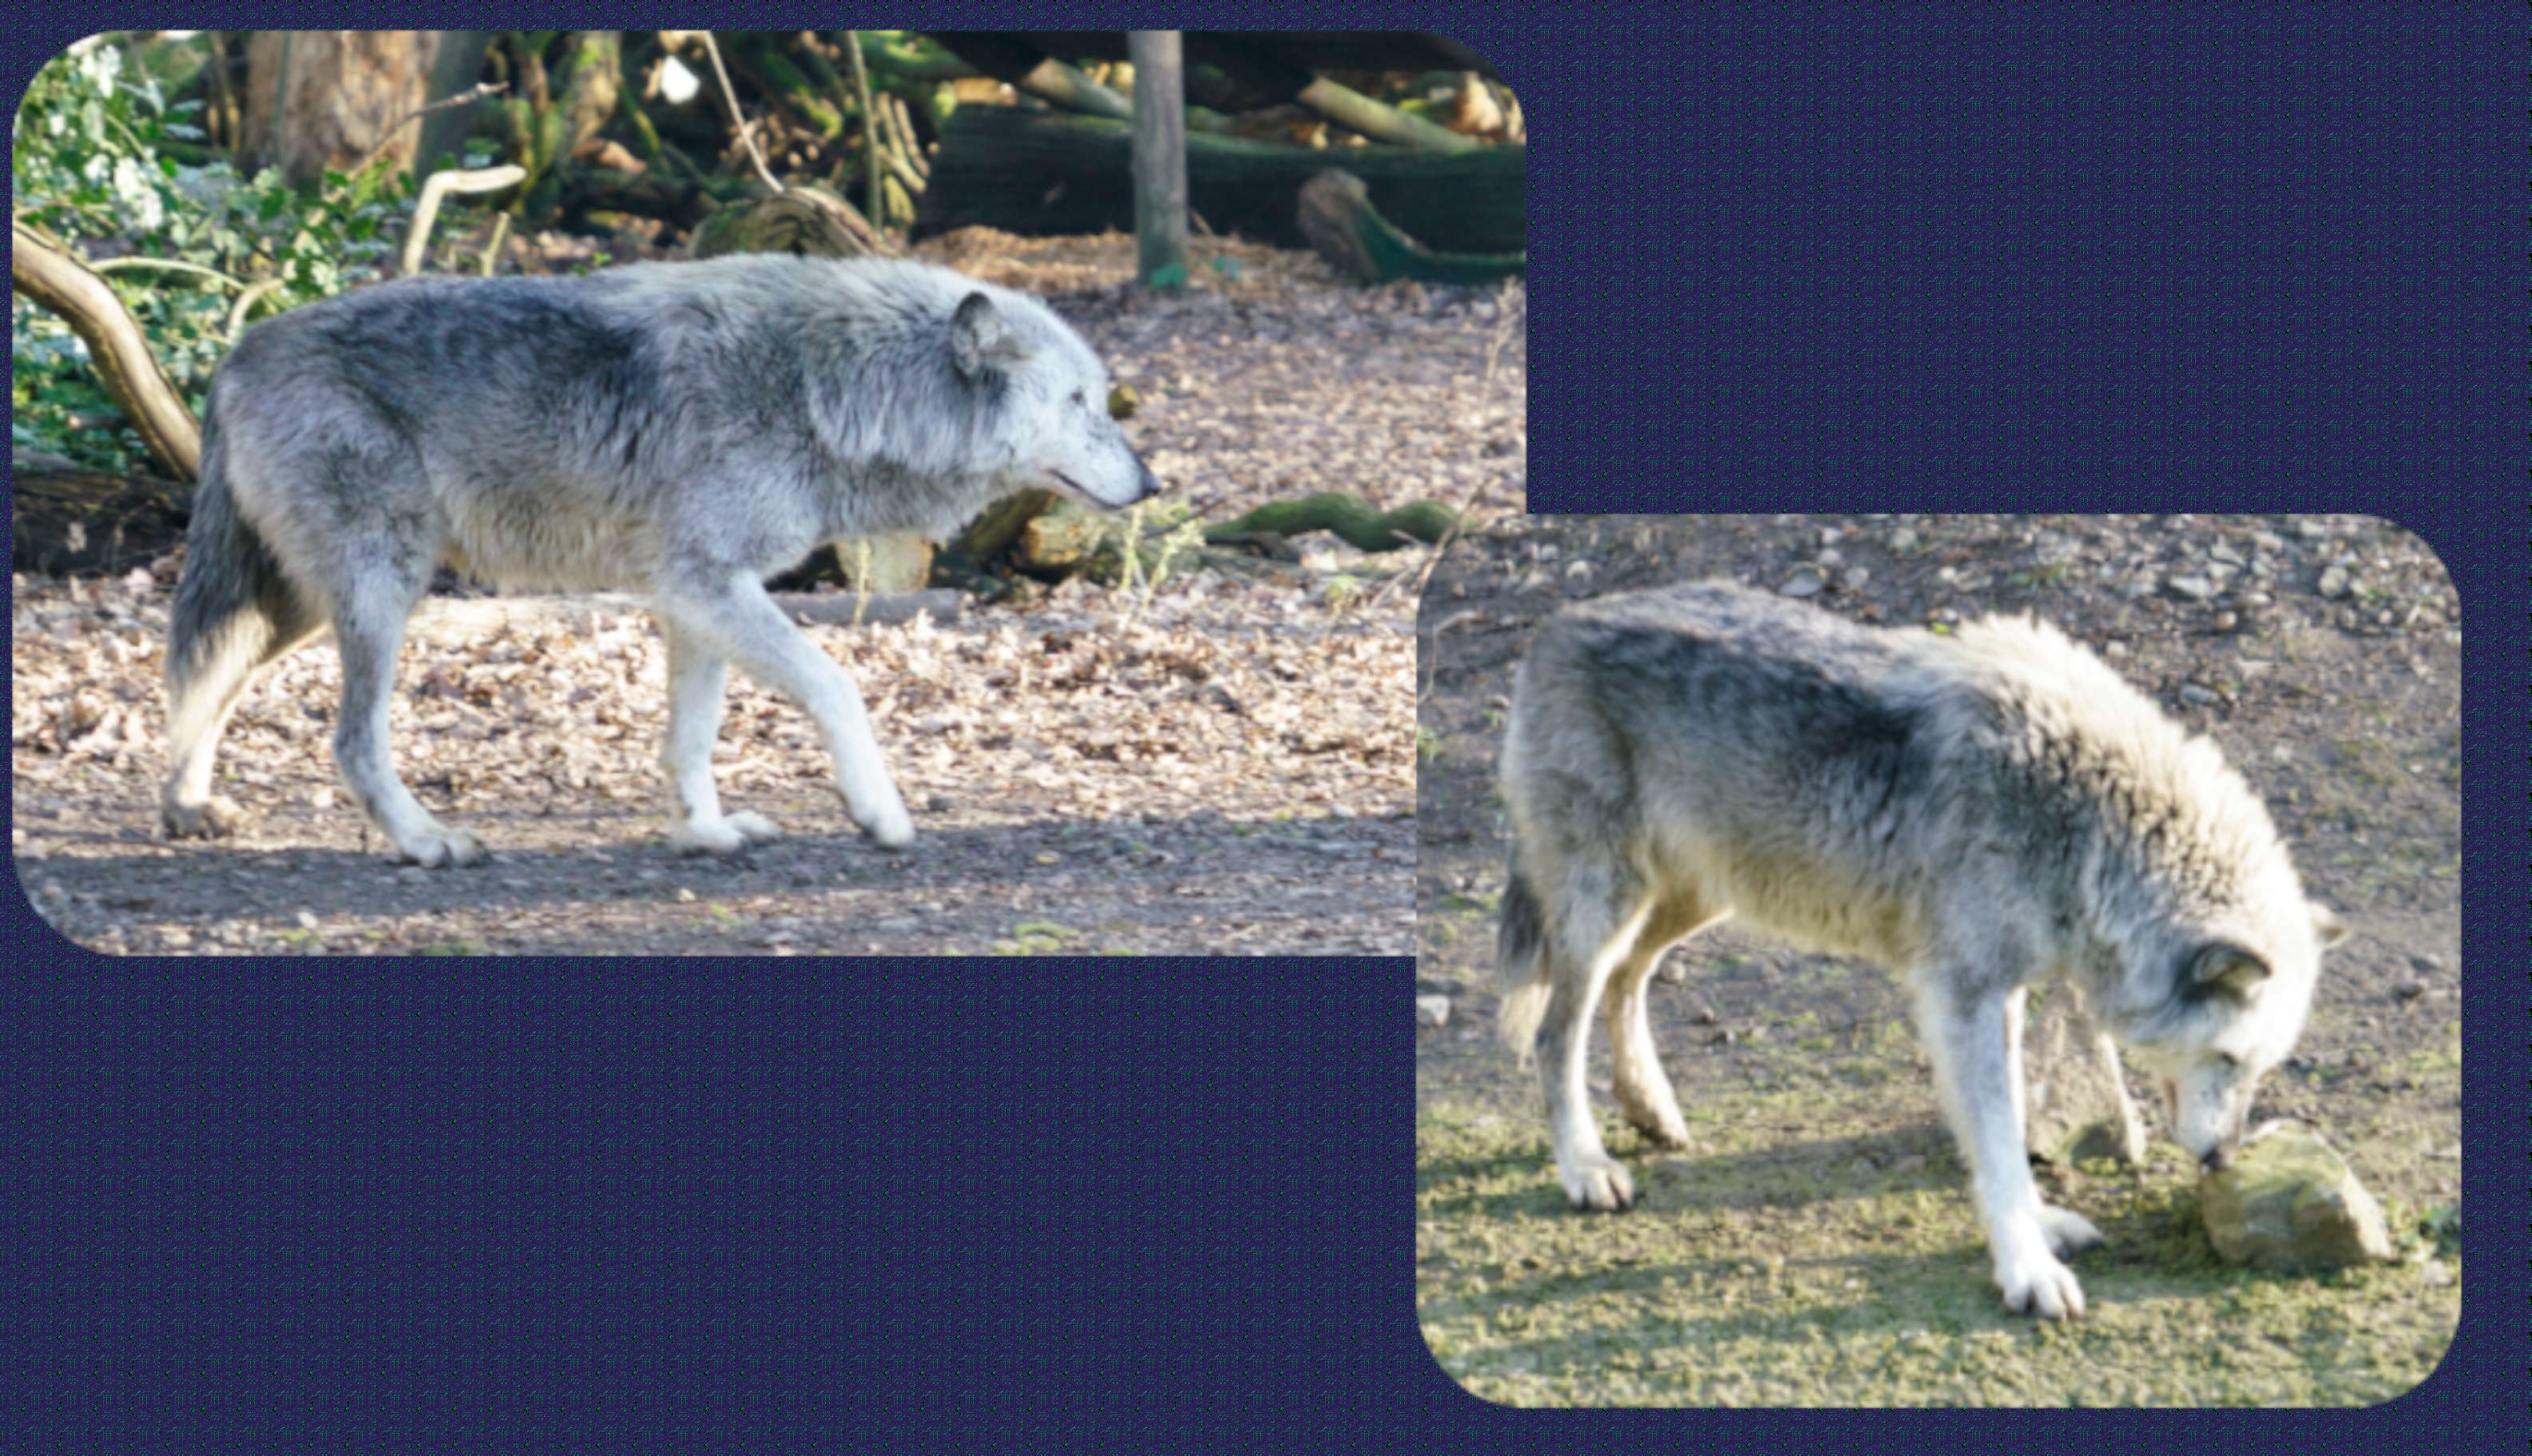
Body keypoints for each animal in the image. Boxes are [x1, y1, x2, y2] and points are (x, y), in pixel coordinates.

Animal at [159, 254, 1161, 866]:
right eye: (1078, 402)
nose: (1150, 482)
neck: (828, 388)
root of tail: (235, 354)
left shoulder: (694, 597)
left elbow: (692, 736)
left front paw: (704, 832)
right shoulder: (709, 583)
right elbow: (837, 687)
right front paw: (880, 812)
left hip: (311, 602)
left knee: (211, 679)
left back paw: (187, 807)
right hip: (381, 593)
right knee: (349, 738)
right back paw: (425, 840)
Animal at [1495, 581, 2344, 1319]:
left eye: (2260, 1068)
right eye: (2230, 1061)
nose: (2224, 1160)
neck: (2088, 822)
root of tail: (1557, 622)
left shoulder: (2003, 995)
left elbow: (2009, 1124)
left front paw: (2042, 1225)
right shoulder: (1962, 993)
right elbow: (1998, 1141)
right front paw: (2028, 1270)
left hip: (1695, 898)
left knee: (1629, 980)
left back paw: (1652, 1109)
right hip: (1608, 905)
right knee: (1555, 1032)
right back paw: (1587, 1167)